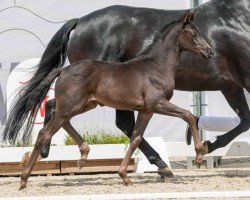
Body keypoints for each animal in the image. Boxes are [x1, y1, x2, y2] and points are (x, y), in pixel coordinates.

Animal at [2, 0, 250, 177]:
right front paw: (203, 148)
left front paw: (206, 145)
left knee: (63, 109)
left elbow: (243, 121)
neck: (238, 18)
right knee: (98, 118)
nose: (210, 52)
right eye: (193, 33)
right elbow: (238, 122)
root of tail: (79, 21)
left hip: (96, 98)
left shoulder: (232, 87)